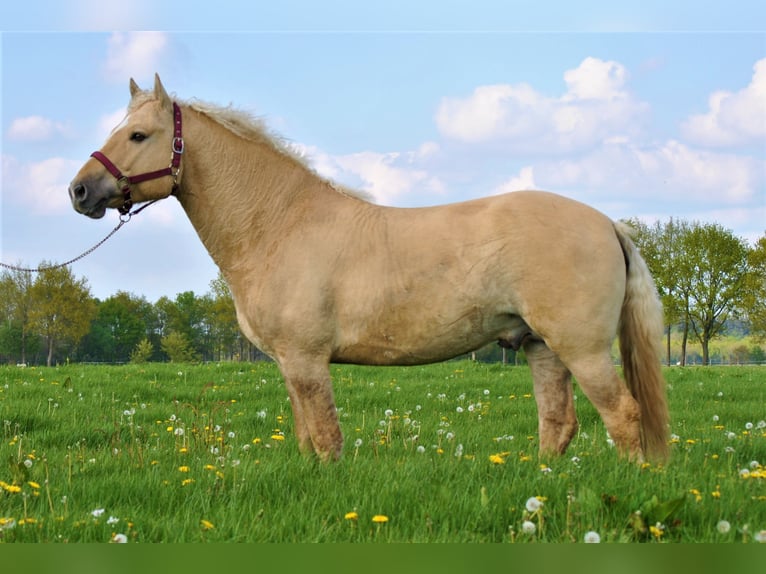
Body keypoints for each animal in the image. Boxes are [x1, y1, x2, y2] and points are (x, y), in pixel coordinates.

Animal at [69, 74, 669, 463]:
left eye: (138, 135)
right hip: (541, 347)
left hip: (582, 349)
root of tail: (606, 223)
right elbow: (307, 440)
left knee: (624, 416)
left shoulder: (308, 361)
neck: (280, 222)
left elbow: (327, 441)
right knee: (558, 424)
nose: (79, 191)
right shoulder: (291, 365)